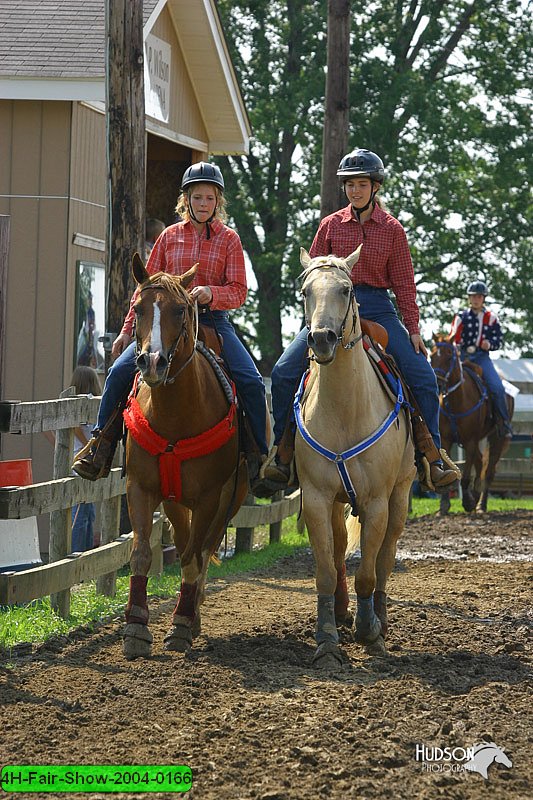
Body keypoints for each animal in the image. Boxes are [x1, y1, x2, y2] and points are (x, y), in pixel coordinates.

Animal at [121, 255, 248, 656]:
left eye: (180, 309)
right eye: (137, 307)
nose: (152, 362)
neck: (176, 415)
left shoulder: (209, 497)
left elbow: (193, 559)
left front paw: (179, 625)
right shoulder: (141, 487)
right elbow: (142, 553)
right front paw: (135, 627)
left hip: (228, 501)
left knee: (203, 551)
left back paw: (191, 616)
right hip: (176, 501)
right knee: (183, 540)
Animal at [294, 248, 414, 668]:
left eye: (346, 289)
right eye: (305, 291)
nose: (322, 338)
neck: (345, 408)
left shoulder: (376, 501)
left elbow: (368, 572)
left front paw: (369, 632)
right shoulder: (316, 498)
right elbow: (326, 571)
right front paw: (327, 639)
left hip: (400, 495)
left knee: (386, 556)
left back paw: (379, 618)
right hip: (336, 502)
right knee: (341, 546)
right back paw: (343, 611)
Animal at [428, 336, 512, 512]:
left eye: (449, 356)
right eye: (431, 356)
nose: (437, 383)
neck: (457, 401)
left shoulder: (471, 441)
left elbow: (466, 475)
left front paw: (467, 502)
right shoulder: (446, 440)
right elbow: (448, 472)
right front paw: (444, 505)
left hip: (497, 439)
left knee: (488, 472)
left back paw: (480, 504)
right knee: (480, 464)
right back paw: (475, 497)